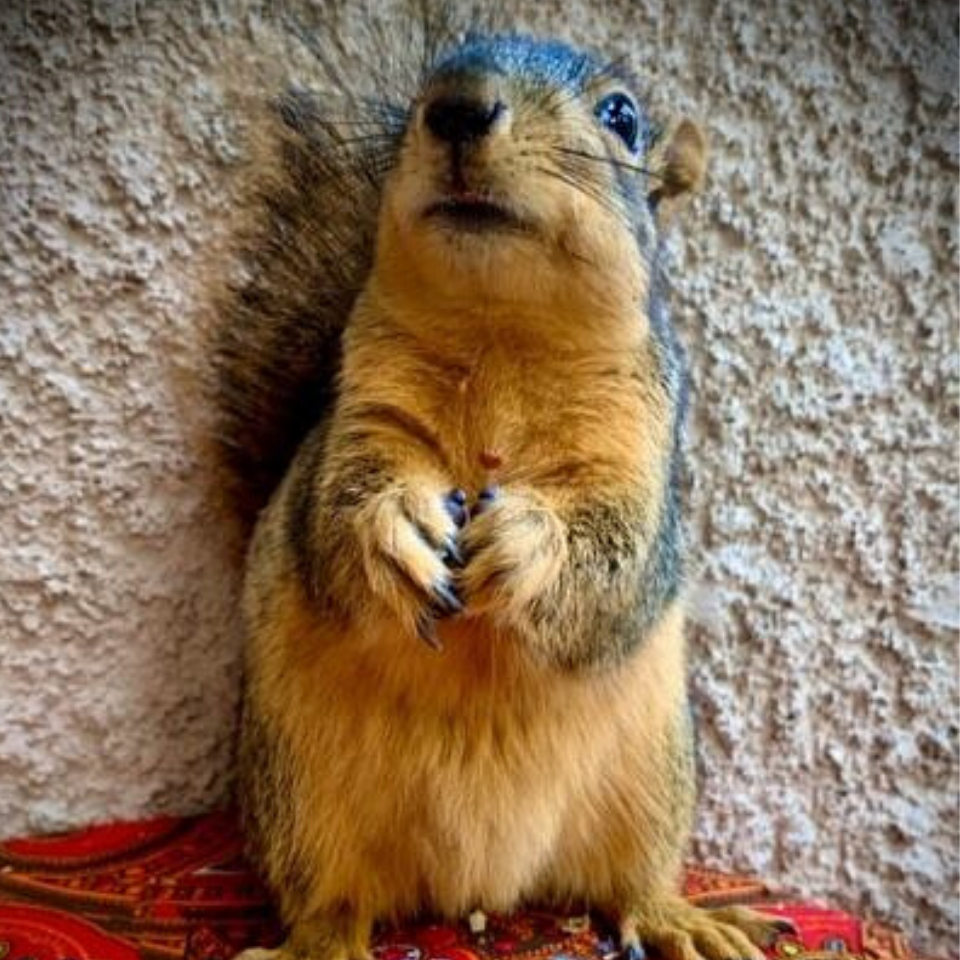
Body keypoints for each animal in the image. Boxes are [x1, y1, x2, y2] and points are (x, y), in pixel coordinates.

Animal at [210, 13, 794, 960]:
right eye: (429, 84)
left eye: (623, 116)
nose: (456, 106)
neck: (501, 332)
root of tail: (476, 891)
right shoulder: (355, 422)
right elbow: (335, 514)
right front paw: (395, 529)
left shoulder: (640, 467)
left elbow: (615, 560)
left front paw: (527, 543)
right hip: (297, 793)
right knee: (329, 903)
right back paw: (314, 941)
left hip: (652, 784)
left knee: (629, 888)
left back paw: (685, 918)